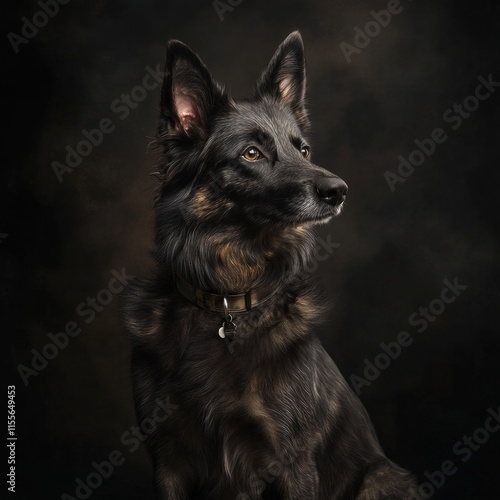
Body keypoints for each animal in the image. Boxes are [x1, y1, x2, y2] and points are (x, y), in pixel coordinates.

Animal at [122, 32, 422, 500]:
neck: (227, 299)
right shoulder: (168, 460)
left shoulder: (290, 460)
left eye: (303, 149)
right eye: (251, 153)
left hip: (380, 477)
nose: (338, 190)